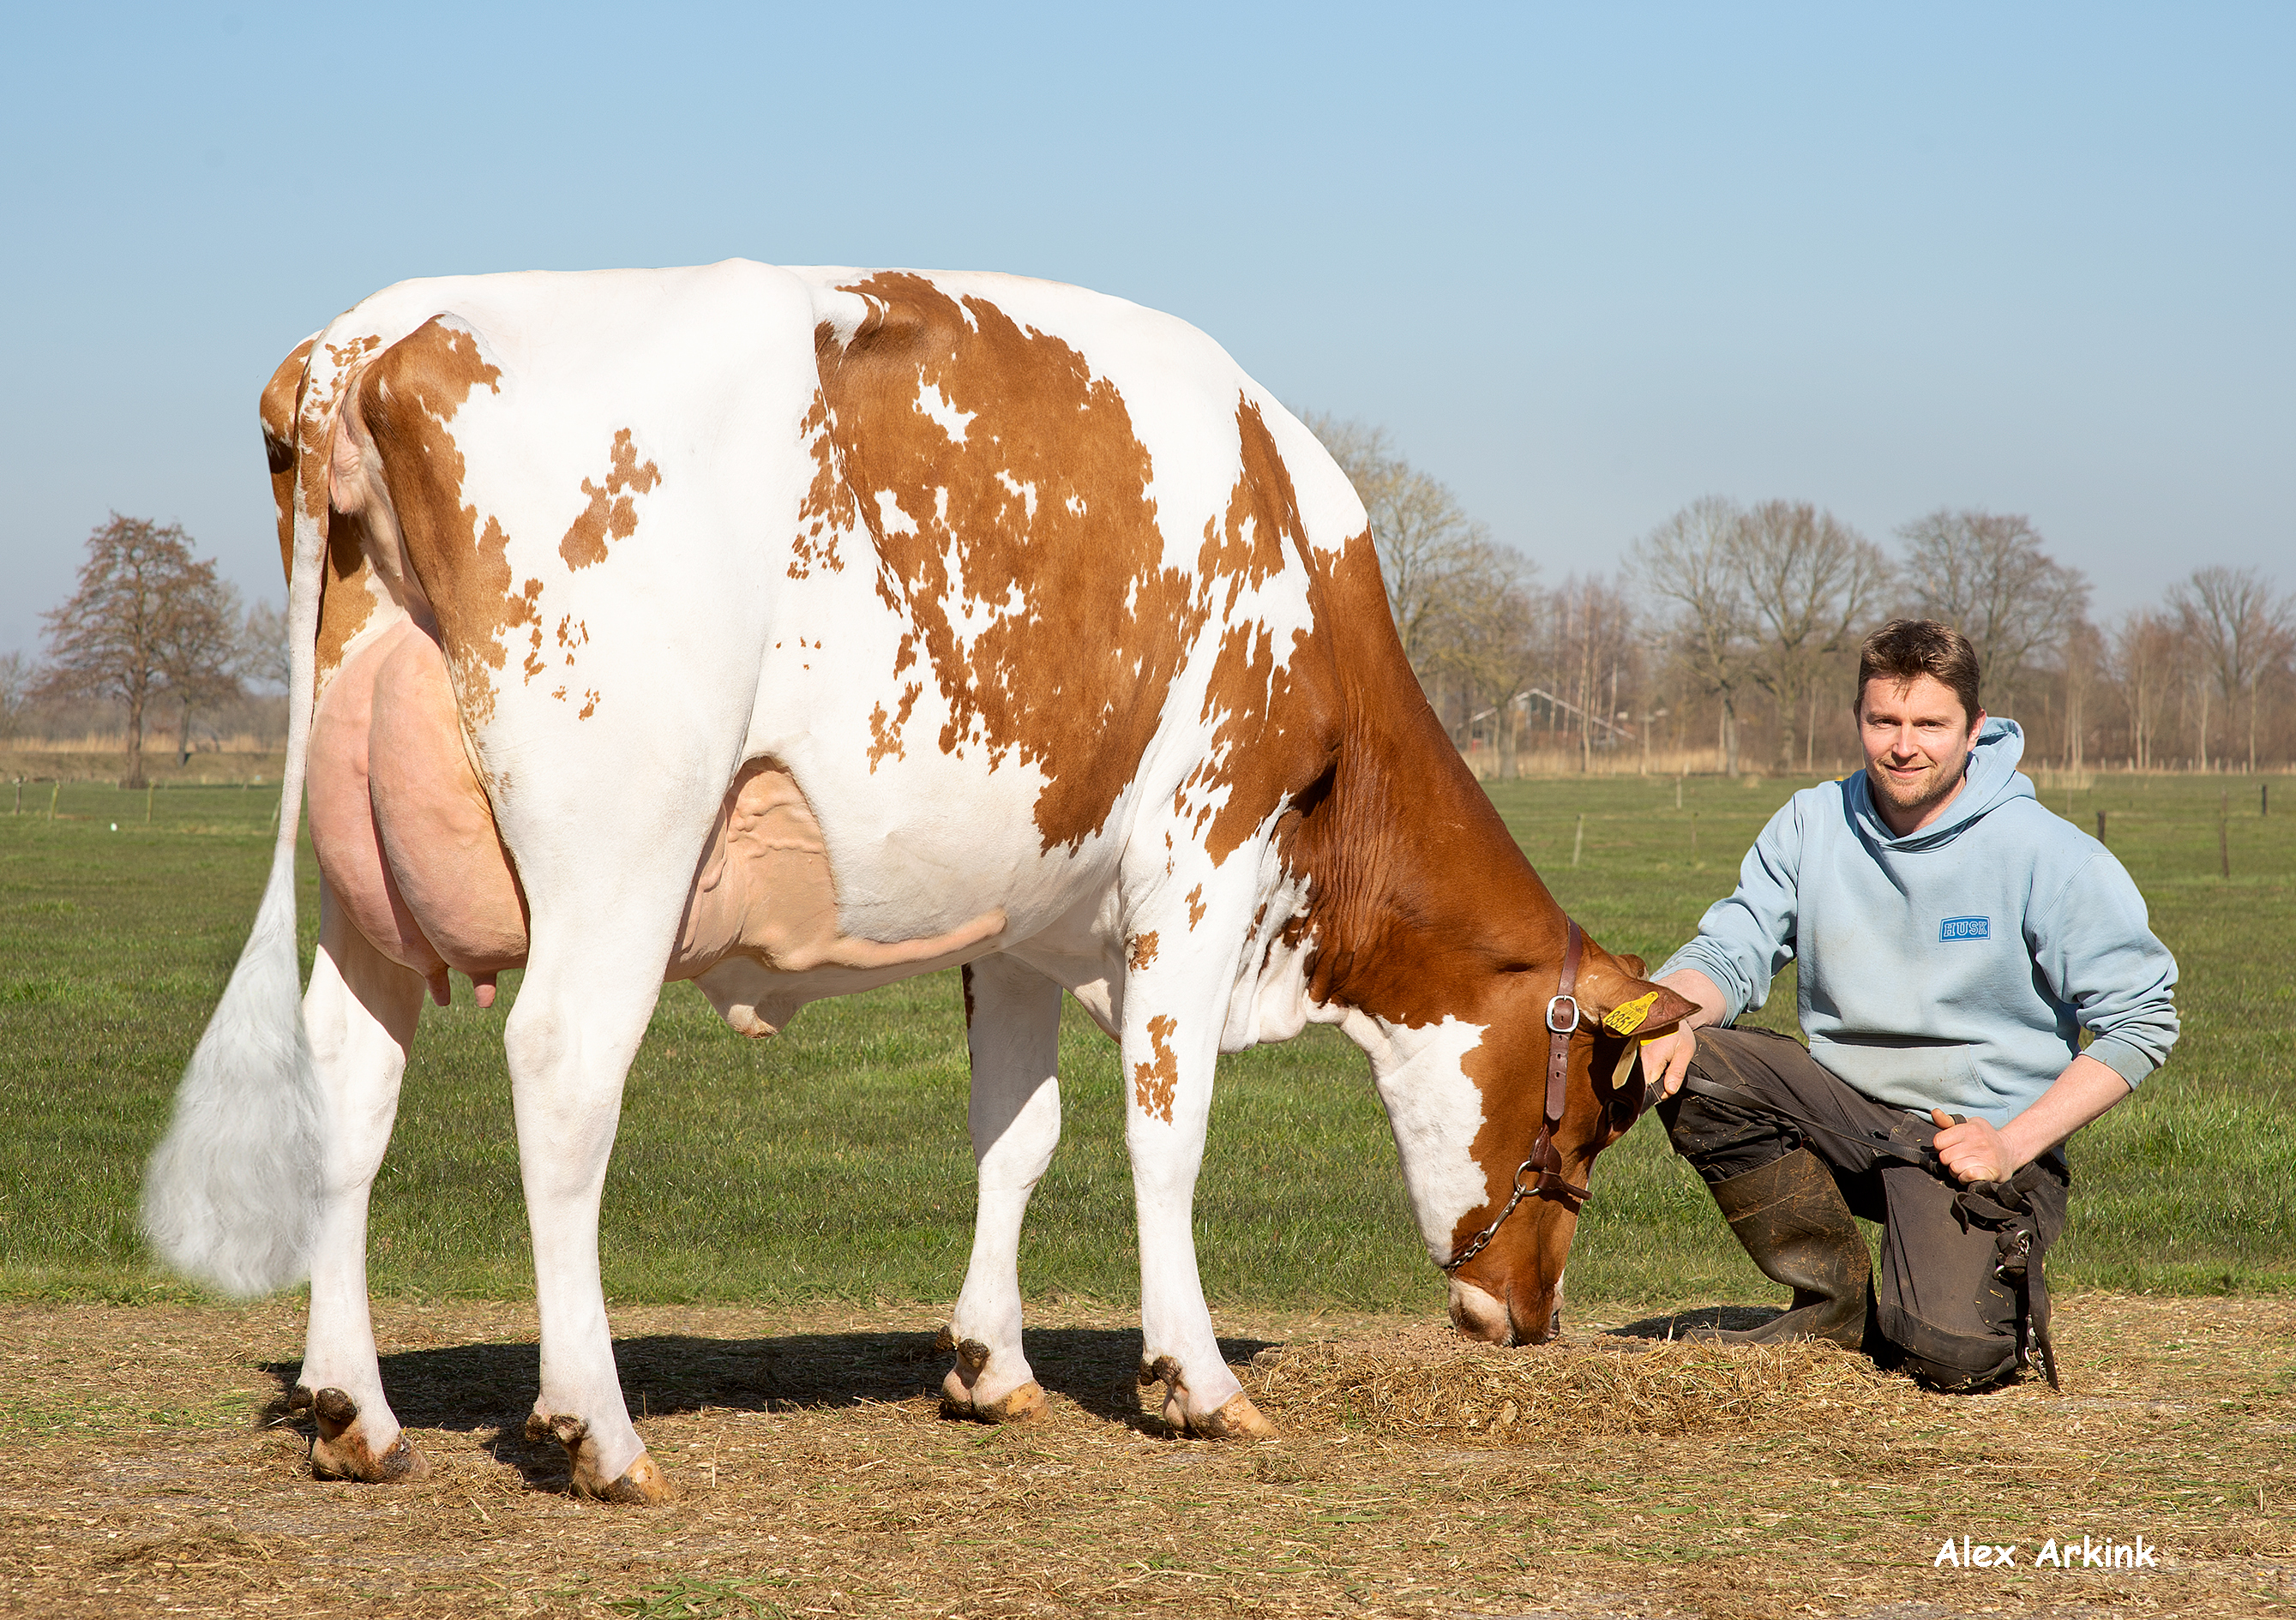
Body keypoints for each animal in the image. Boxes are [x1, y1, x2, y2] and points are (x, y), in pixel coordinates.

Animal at [139, 259, 1690, 1496]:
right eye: (1594, 1117)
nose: (1531, 1316)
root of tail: (373, 332)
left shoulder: (1022, 915)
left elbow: (1017, 1136)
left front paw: (989, 1367)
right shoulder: (1198, 859)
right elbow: (1165, 1130)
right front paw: (1192, 1379)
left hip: (368, 880)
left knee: (349, 1081)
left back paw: (355, 1411)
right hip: (623, 846)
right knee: (565, 1075)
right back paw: (600, 1432)